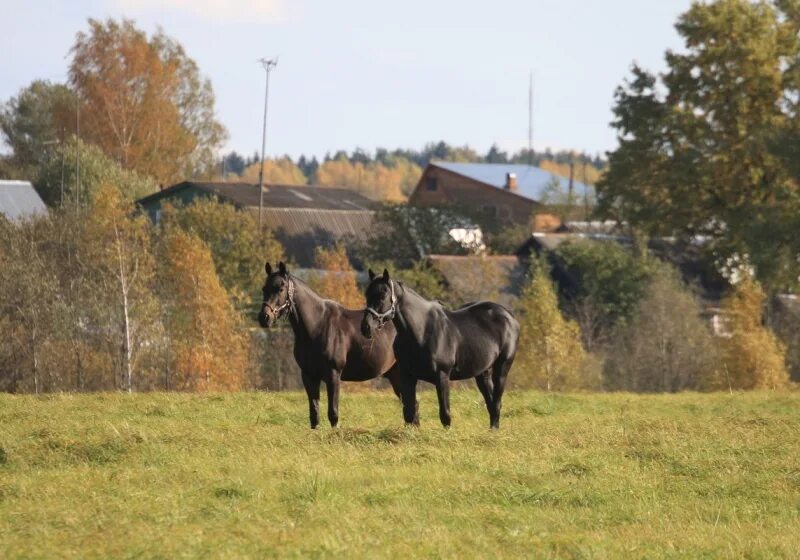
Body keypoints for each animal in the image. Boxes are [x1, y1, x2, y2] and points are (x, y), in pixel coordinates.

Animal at [258, 262, 410, 428]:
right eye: (264, 288)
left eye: (280, 289)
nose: (264, 318)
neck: (318, 325)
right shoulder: (308, 376)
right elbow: (314, 415)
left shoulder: (333, 375)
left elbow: (333, 414)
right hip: (395, 375)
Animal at [360, 270, 520, 430]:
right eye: (367, 295)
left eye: (382, 296)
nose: (366, 327)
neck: (421, 330)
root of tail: (509, 315)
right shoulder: (406, 376)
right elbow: (410, 412)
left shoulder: (442, 376)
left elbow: (445, 414)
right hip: (482, 372)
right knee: (491, 403)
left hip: (502, 367)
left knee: (496, 403)